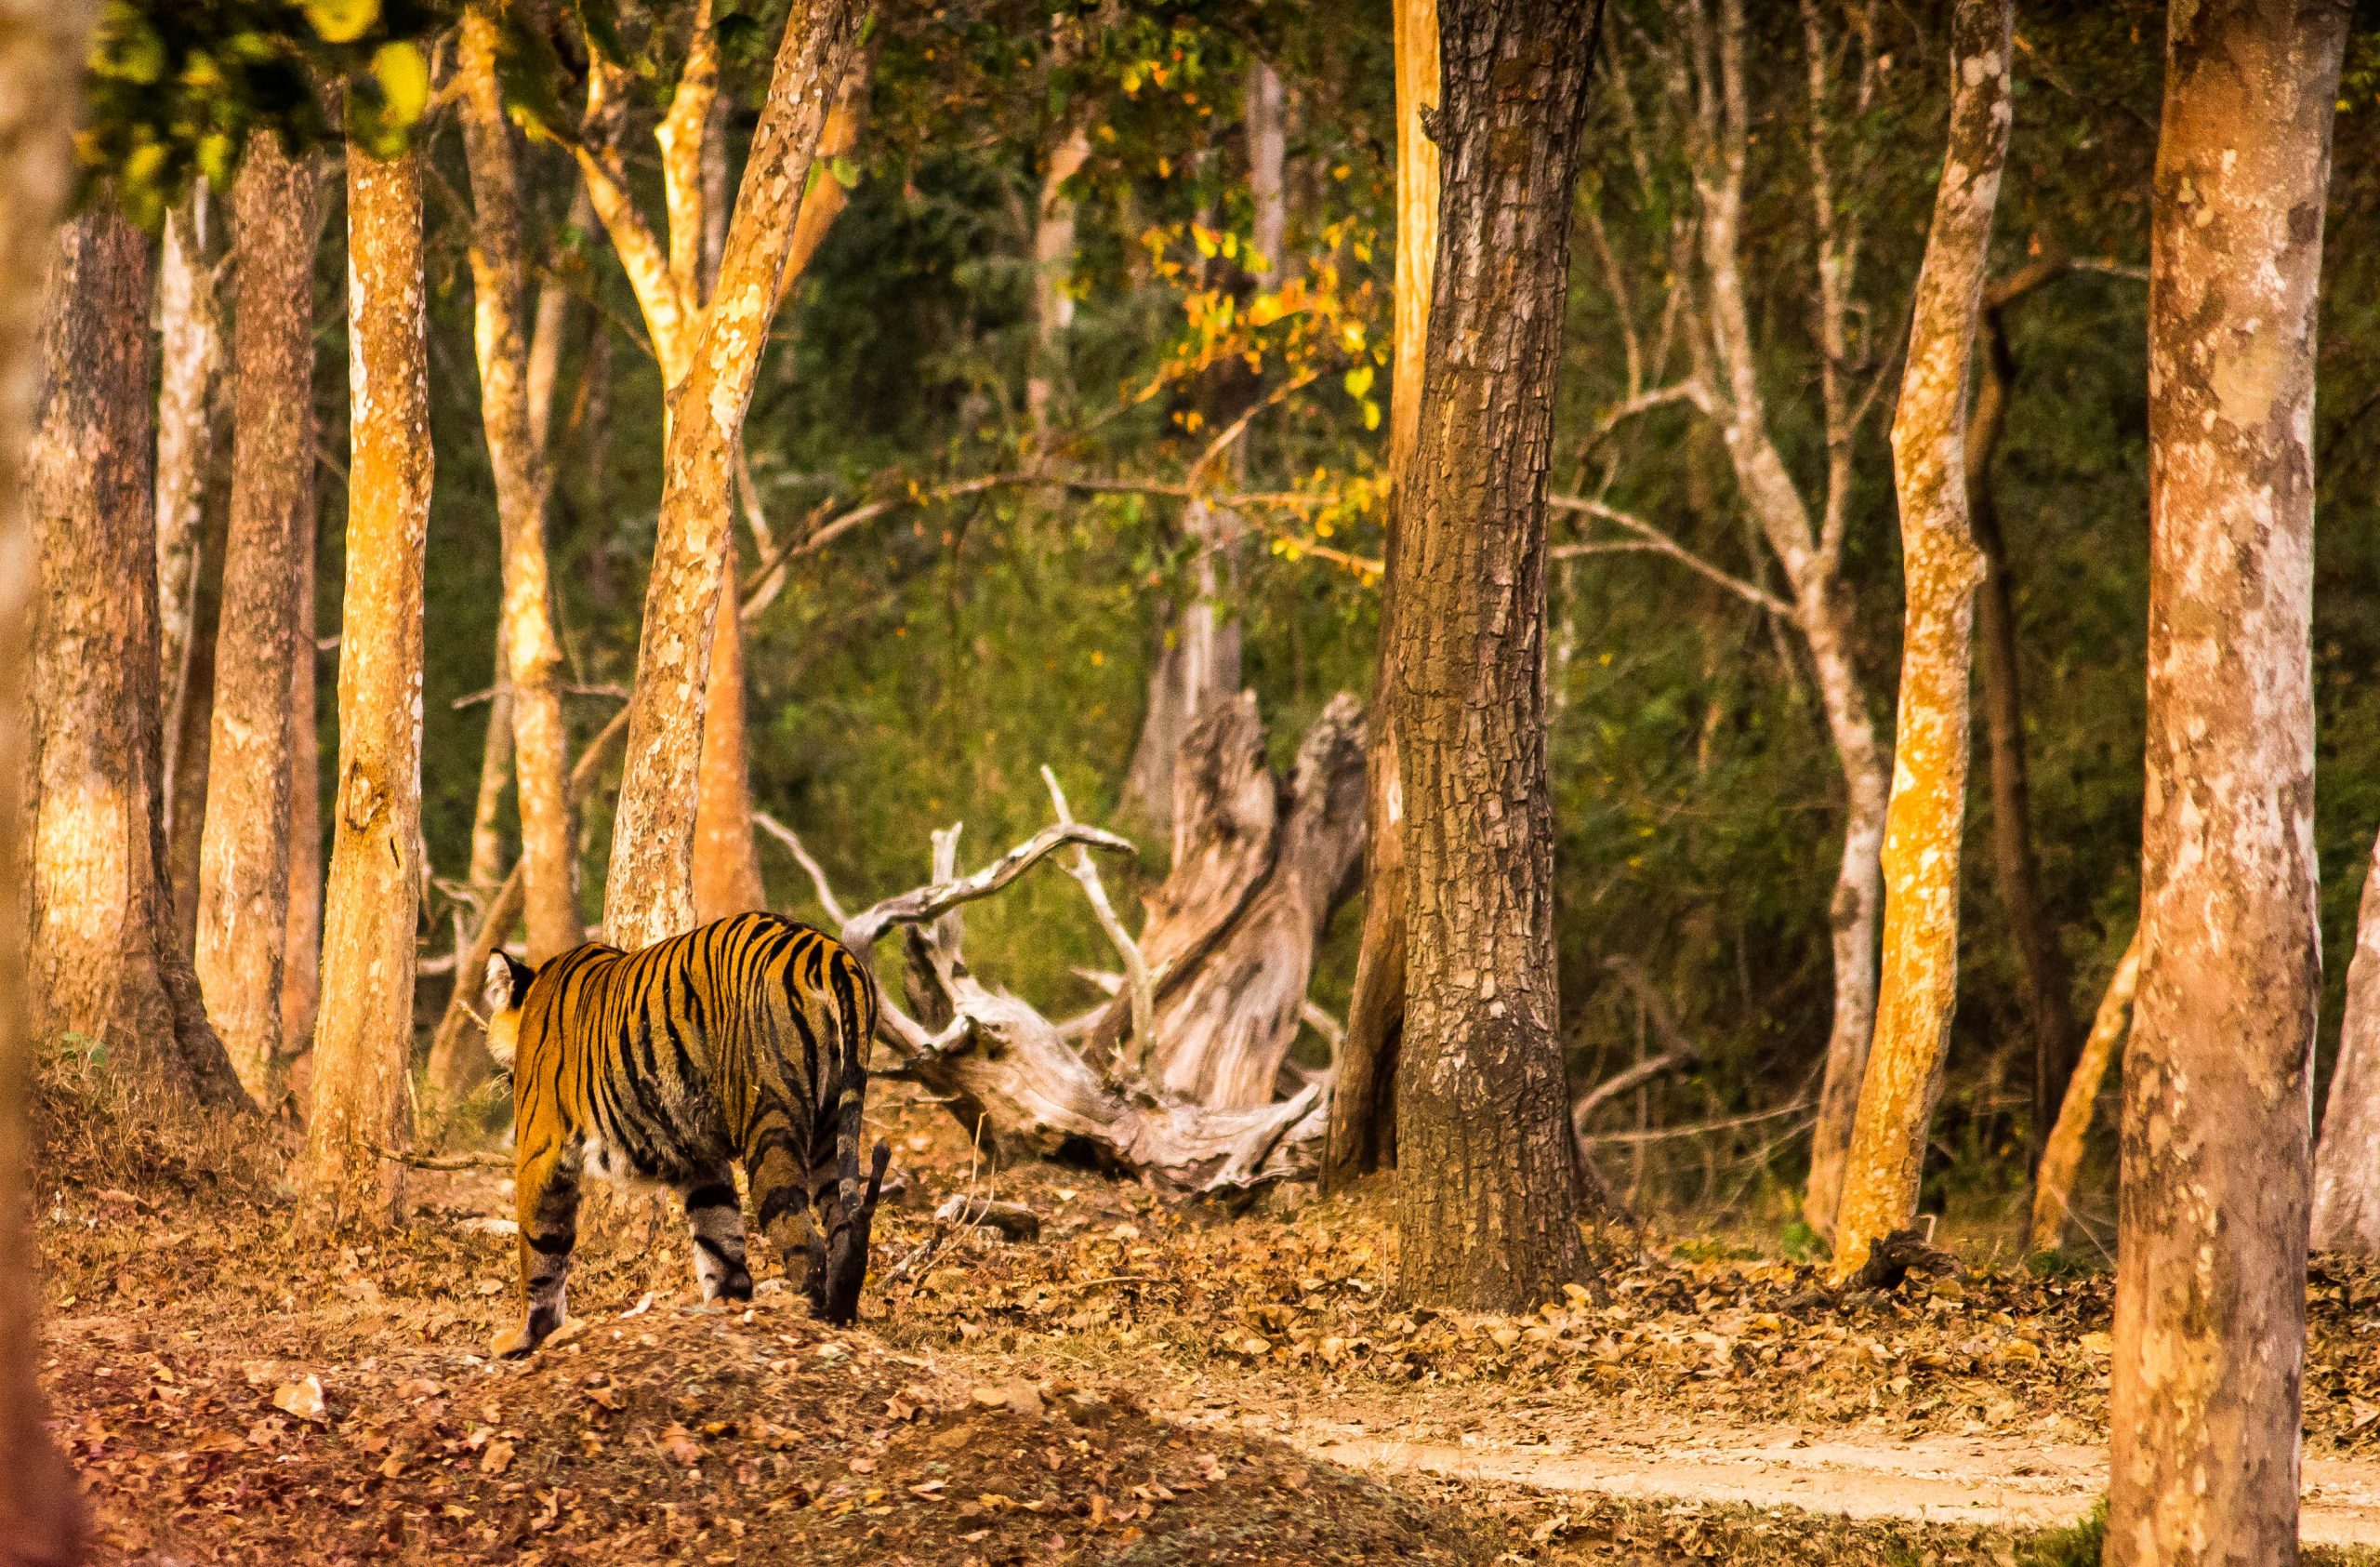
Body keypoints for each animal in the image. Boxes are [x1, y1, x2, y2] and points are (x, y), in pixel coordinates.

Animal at [478, 910, 890, 1352]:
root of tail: (827, 952)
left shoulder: (541, 1149)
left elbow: (539, 1250)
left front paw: (525, 1337)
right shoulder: (701, 1161)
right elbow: (718, 1235)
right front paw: (727, 1301)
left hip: (769, 1121)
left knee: (805, 1242)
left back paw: (807, 1319)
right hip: (832, 1124)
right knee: (843, 1226)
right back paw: (839, 1315)